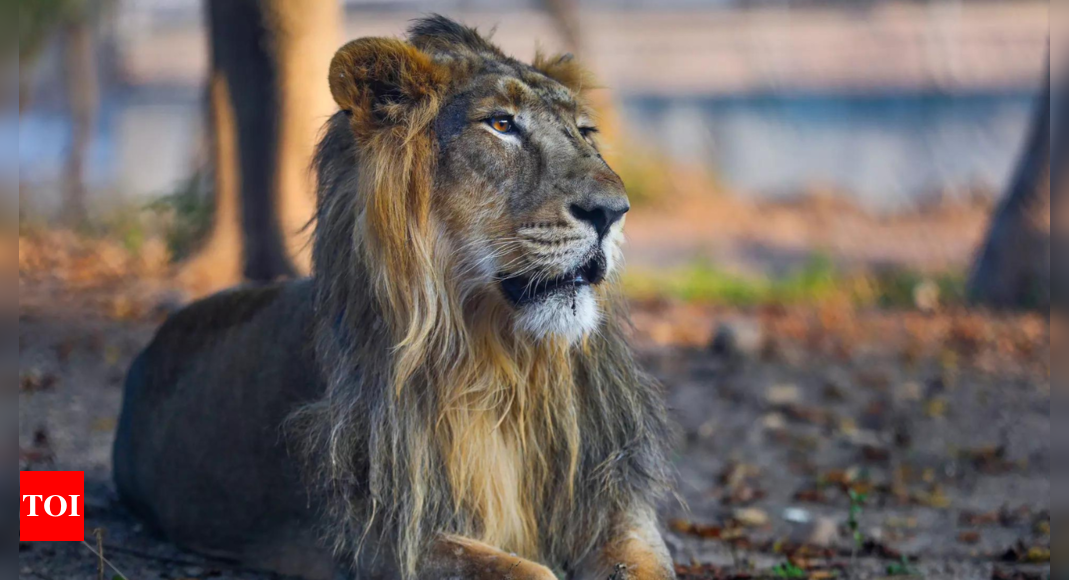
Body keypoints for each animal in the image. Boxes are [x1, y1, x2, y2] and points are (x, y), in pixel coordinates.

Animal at [114, 14, 675, 580]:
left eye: (585, 131)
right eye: (500, 124)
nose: (613, 211)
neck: (498, 366)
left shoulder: (613, 507)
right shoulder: (382, 538)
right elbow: (526, 570)